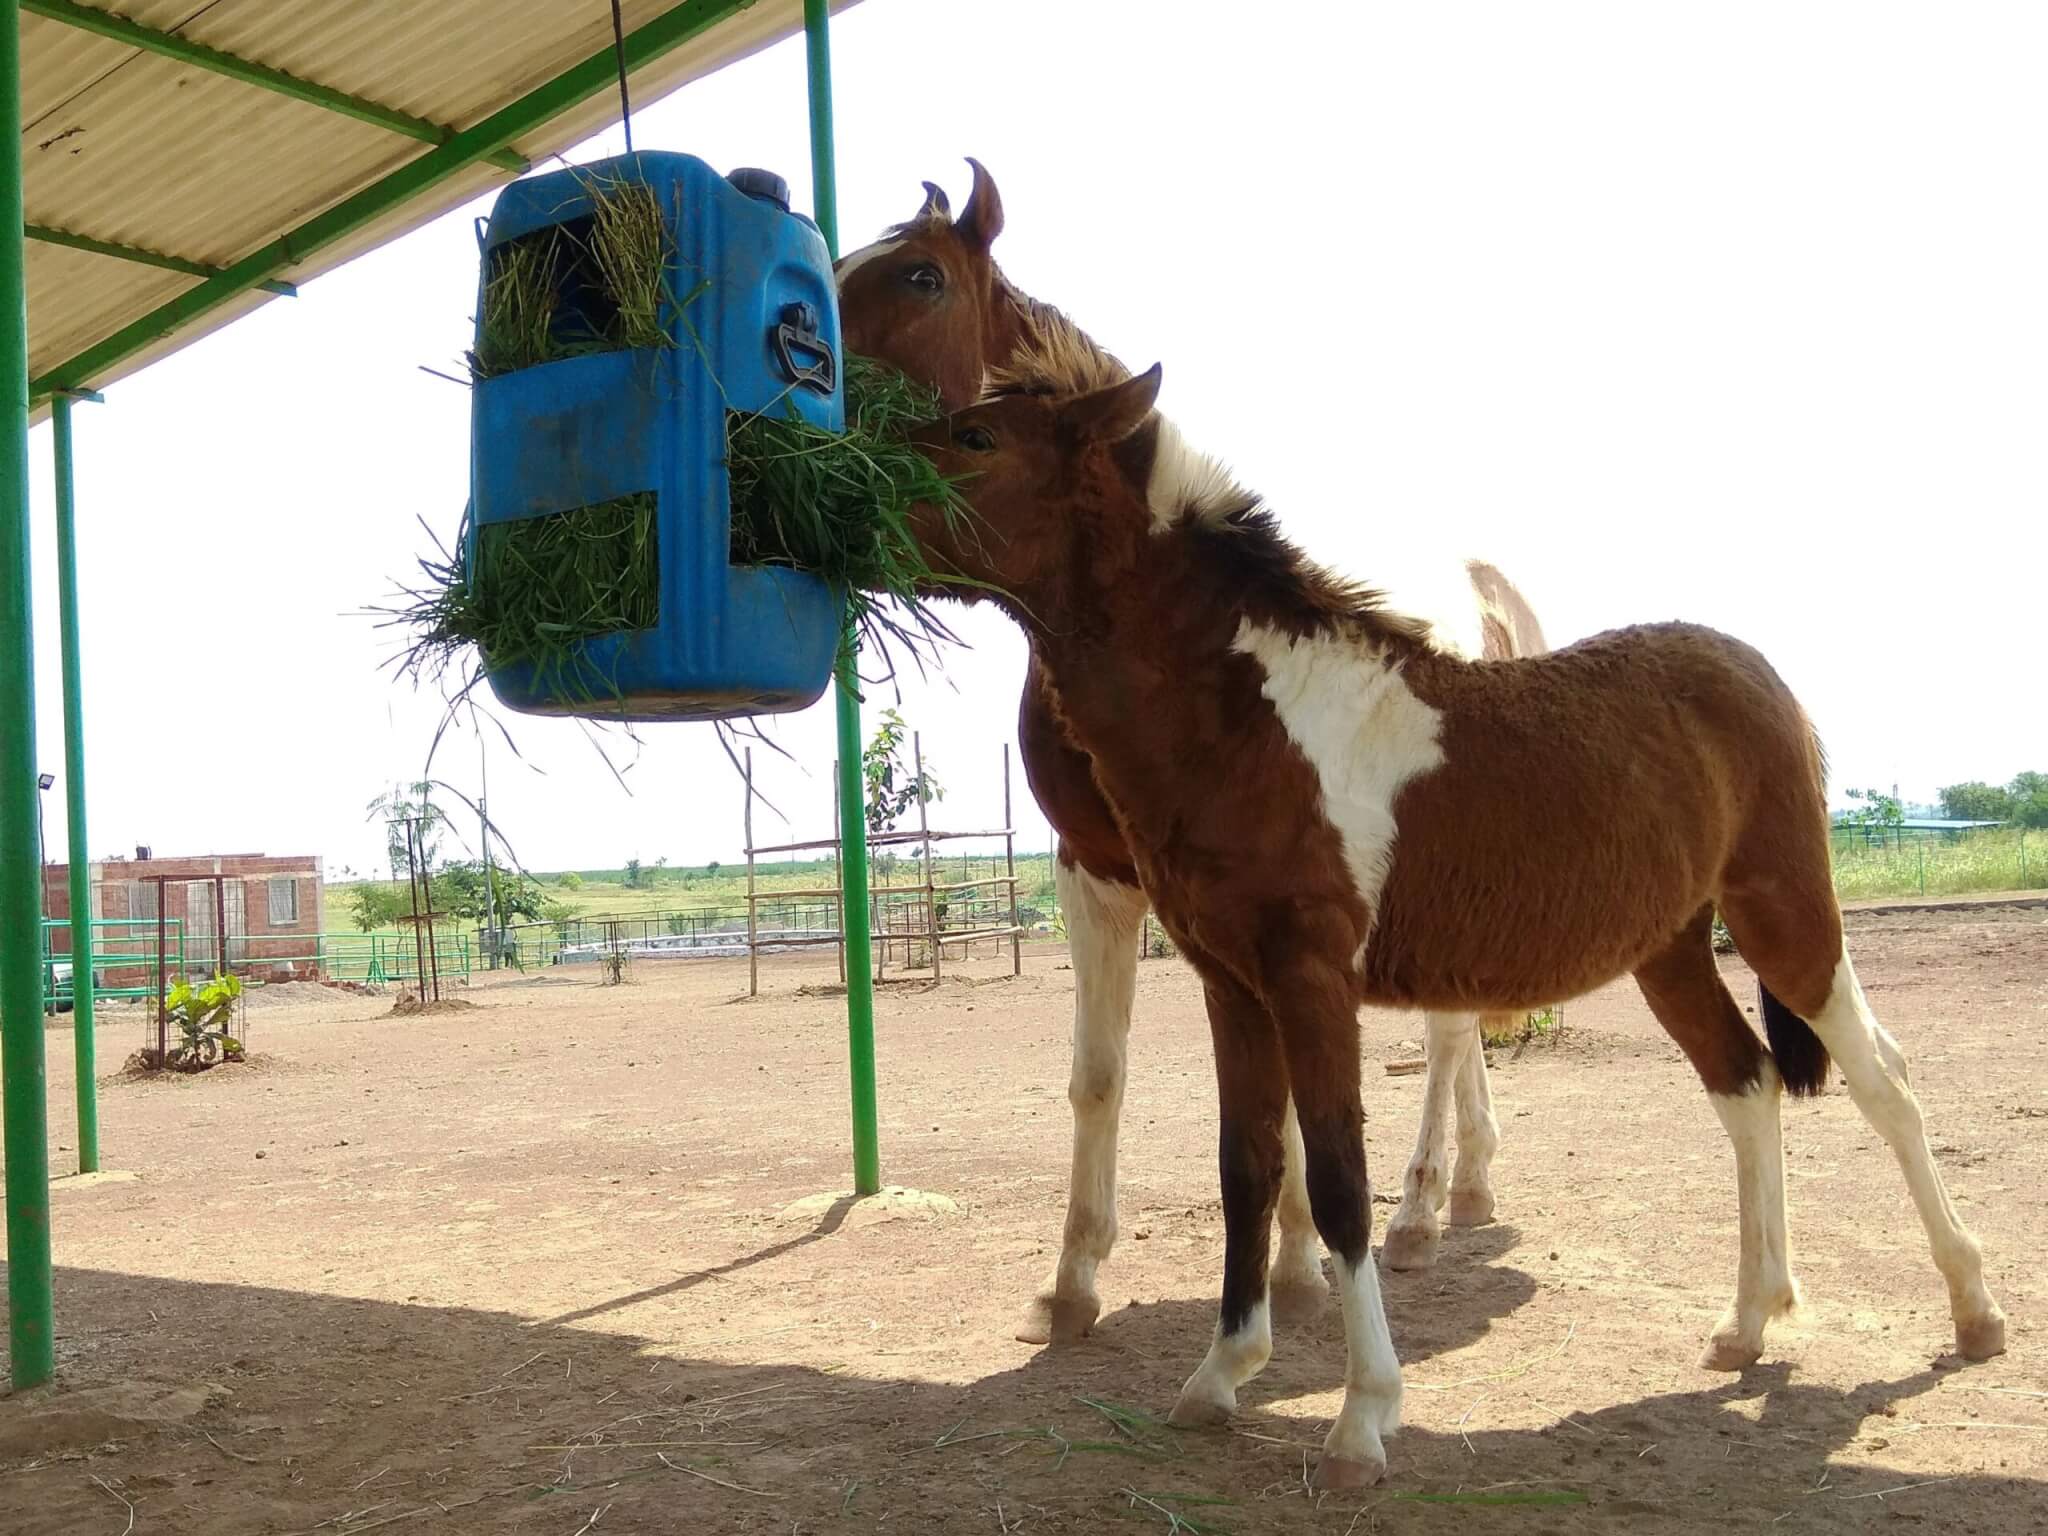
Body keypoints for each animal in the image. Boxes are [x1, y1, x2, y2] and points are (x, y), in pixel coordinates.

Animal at [831, 165, 1540, 1343]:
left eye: (918, 276)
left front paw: (1295, 1266)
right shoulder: (1094, 870)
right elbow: (1098, 1075)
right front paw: (1072, 1278)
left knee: (1443, 1038)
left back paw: (1418, 1209)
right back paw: (1473, 1180)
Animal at [905, 342, 2007, 1482]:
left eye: (977, 438)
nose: (849, 497)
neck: (1259, 720)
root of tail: (1761, 678)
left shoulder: (1311, 980)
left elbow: (1337, 1177)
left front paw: (1361, 1417)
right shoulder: (1231, 983)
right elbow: (1247, 1167)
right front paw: (1219, 1376)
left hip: (1782, 916)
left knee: (1883, 1079)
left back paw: (1972, 1309)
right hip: (1668, 951)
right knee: (1743, 1083)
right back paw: (1746, 1323)